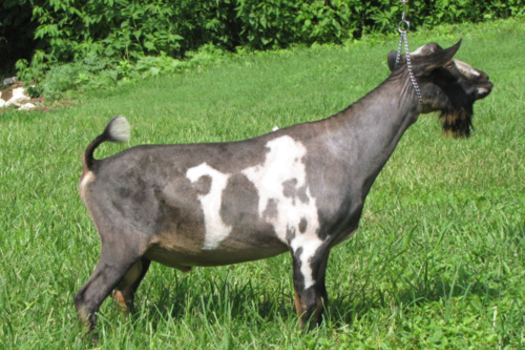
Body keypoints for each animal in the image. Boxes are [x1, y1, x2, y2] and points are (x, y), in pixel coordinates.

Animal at [74, 41, 492, 334]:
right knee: (86, 298)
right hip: (120, 241)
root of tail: (95, 166)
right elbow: (308, 300)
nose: (487, 79)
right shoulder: (307, 241)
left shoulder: (322, 246)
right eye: (449, 69)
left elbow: (320, 297)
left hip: (140, 252)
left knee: (122, 293)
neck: (345, 148)